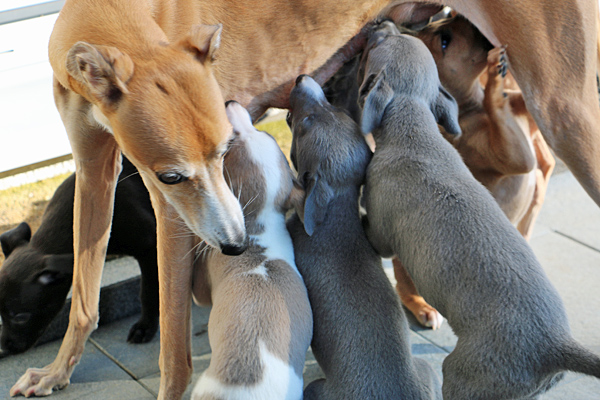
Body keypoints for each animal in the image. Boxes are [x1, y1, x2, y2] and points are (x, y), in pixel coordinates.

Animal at [286, 74, 440, 400]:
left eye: (306, 122)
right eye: (337, 109)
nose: (302, 78)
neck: (336, 217)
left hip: (317, 389)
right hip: (426, 369)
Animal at [358, 19, 600, 400]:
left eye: (379, 43)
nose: (382, 22)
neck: (415, 132)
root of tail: (556, 347)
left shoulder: (381, 229)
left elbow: (372, 231)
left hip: (463, 373)